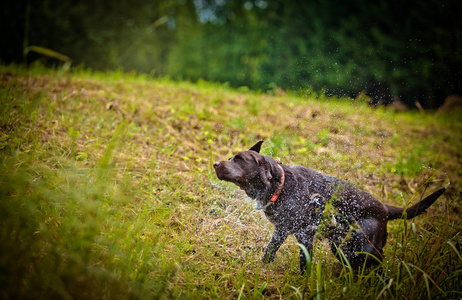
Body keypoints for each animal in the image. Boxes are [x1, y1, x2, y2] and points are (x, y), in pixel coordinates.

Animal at [214, 142, 448, 274]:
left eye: (240, 159)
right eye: (230, 157)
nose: (215, 164)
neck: (281, 186)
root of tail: (384, 208)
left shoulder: (305, 234)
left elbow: (304, 264)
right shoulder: (281, 230)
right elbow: (269, 252)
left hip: (365, 248)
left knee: (380, 264)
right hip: (342, 246)